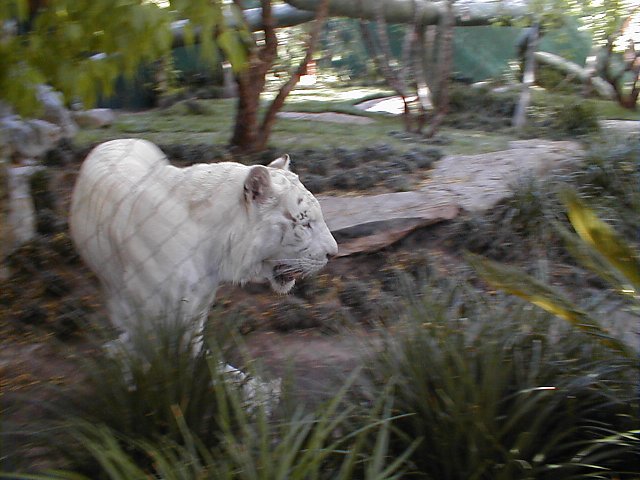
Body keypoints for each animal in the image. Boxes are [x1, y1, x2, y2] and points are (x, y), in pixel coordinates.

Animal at [69, 138, 337, 347]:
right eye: (305, 223)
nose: (333, 254)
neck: (214, 248)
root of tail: (117, 139)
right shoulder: (152, 317)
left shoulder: (196, 309)